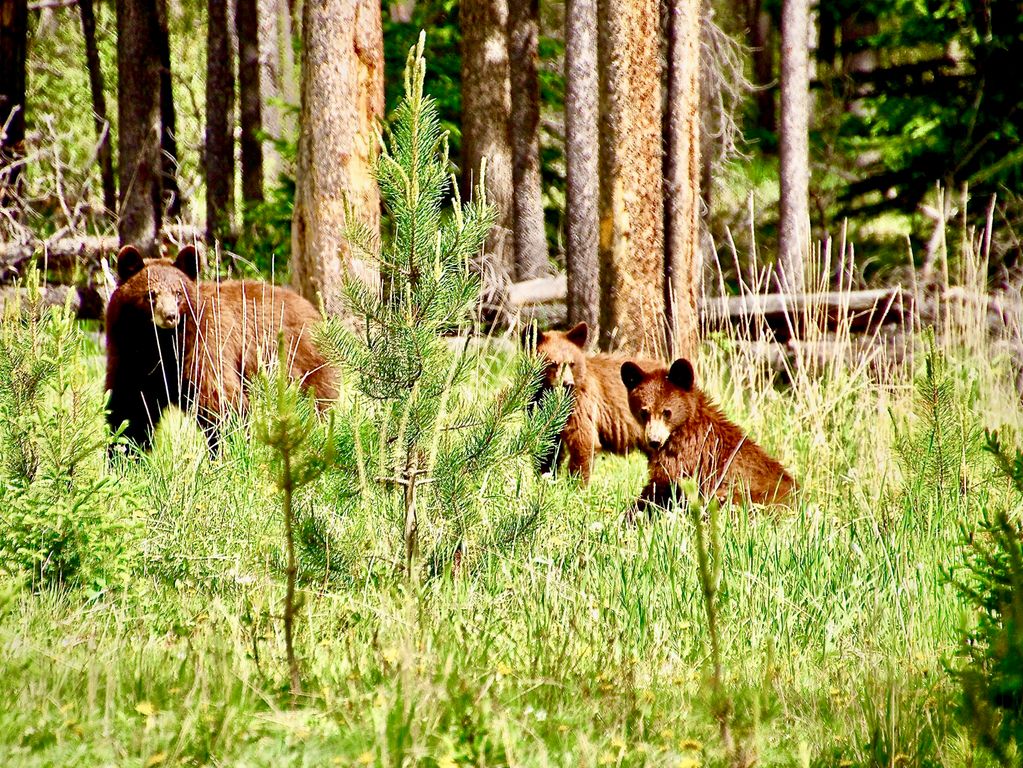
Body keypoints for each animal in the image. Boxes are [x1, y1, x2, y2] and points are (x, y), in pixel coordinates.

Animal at [103, 244, 337, 449]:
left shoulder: (204, 344)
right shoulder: (128, 356)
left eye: (178, 293)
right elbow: (129, 408)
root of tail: (311, 309)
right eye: (151, 294)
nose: (170, 316)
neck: (158, 342)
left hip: (301, 362)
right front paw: (123, 453)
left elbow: (219, 400)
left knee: (317, 402)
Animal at [527, 321, 654, 482]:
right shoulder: (537, 408)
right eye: (553, 364)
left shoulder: (582, 404)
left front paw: (574, 484)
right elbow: (547, 447)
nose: (568, 384)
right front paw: (545, 478)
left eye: (571, 363)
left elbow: (584, 441)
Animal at [617, 359, 793, 511]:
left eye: (667, 412)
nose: (654, 441)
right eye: (644, 412)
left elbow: (661, 484)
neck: (686, 422)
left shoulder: (686, 453)